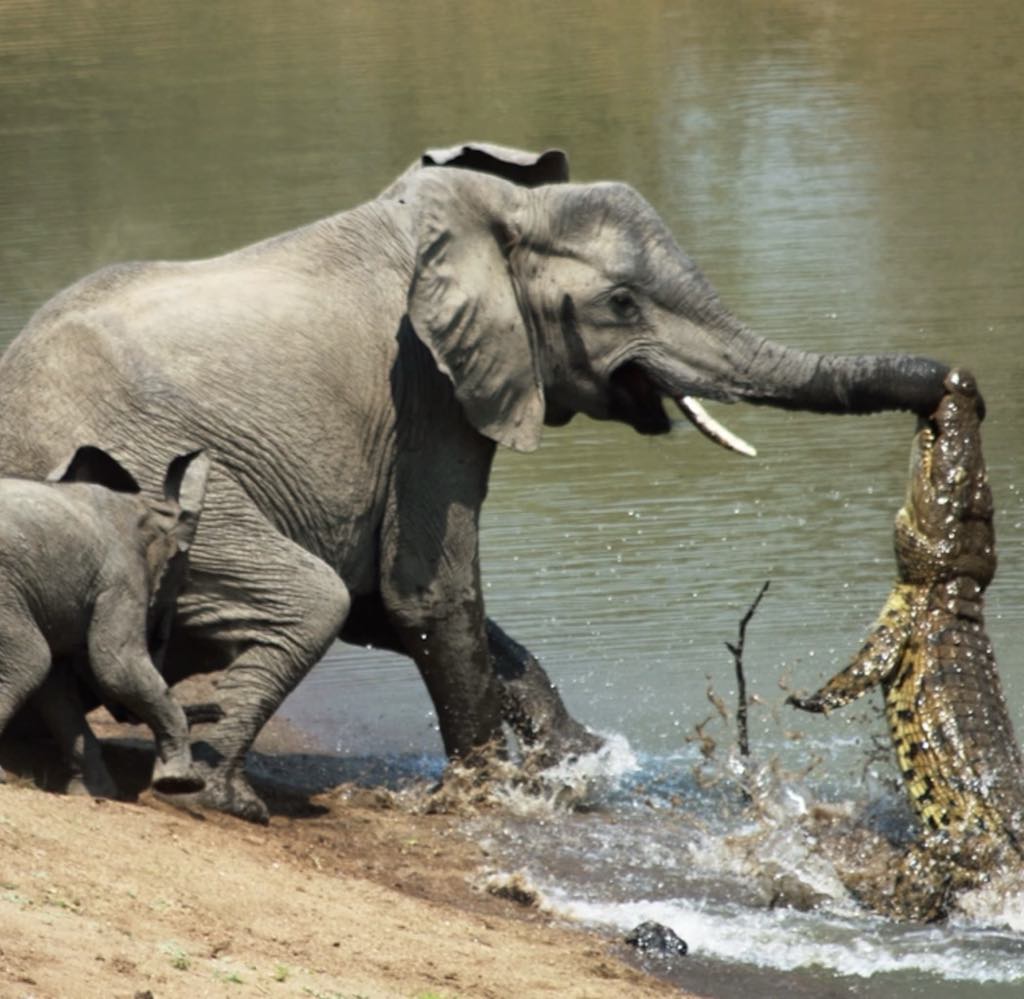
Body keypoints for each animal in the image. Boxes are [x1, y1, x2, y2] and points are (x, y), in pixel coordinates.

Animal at [0, 444, 210, 794]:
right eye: (182, 585)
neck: (150, 508)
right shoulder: (121, 578)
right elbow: (117, 667)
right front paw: (180, 783)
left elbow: (58, 692)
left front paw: (96, 794)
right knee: (31, 659)